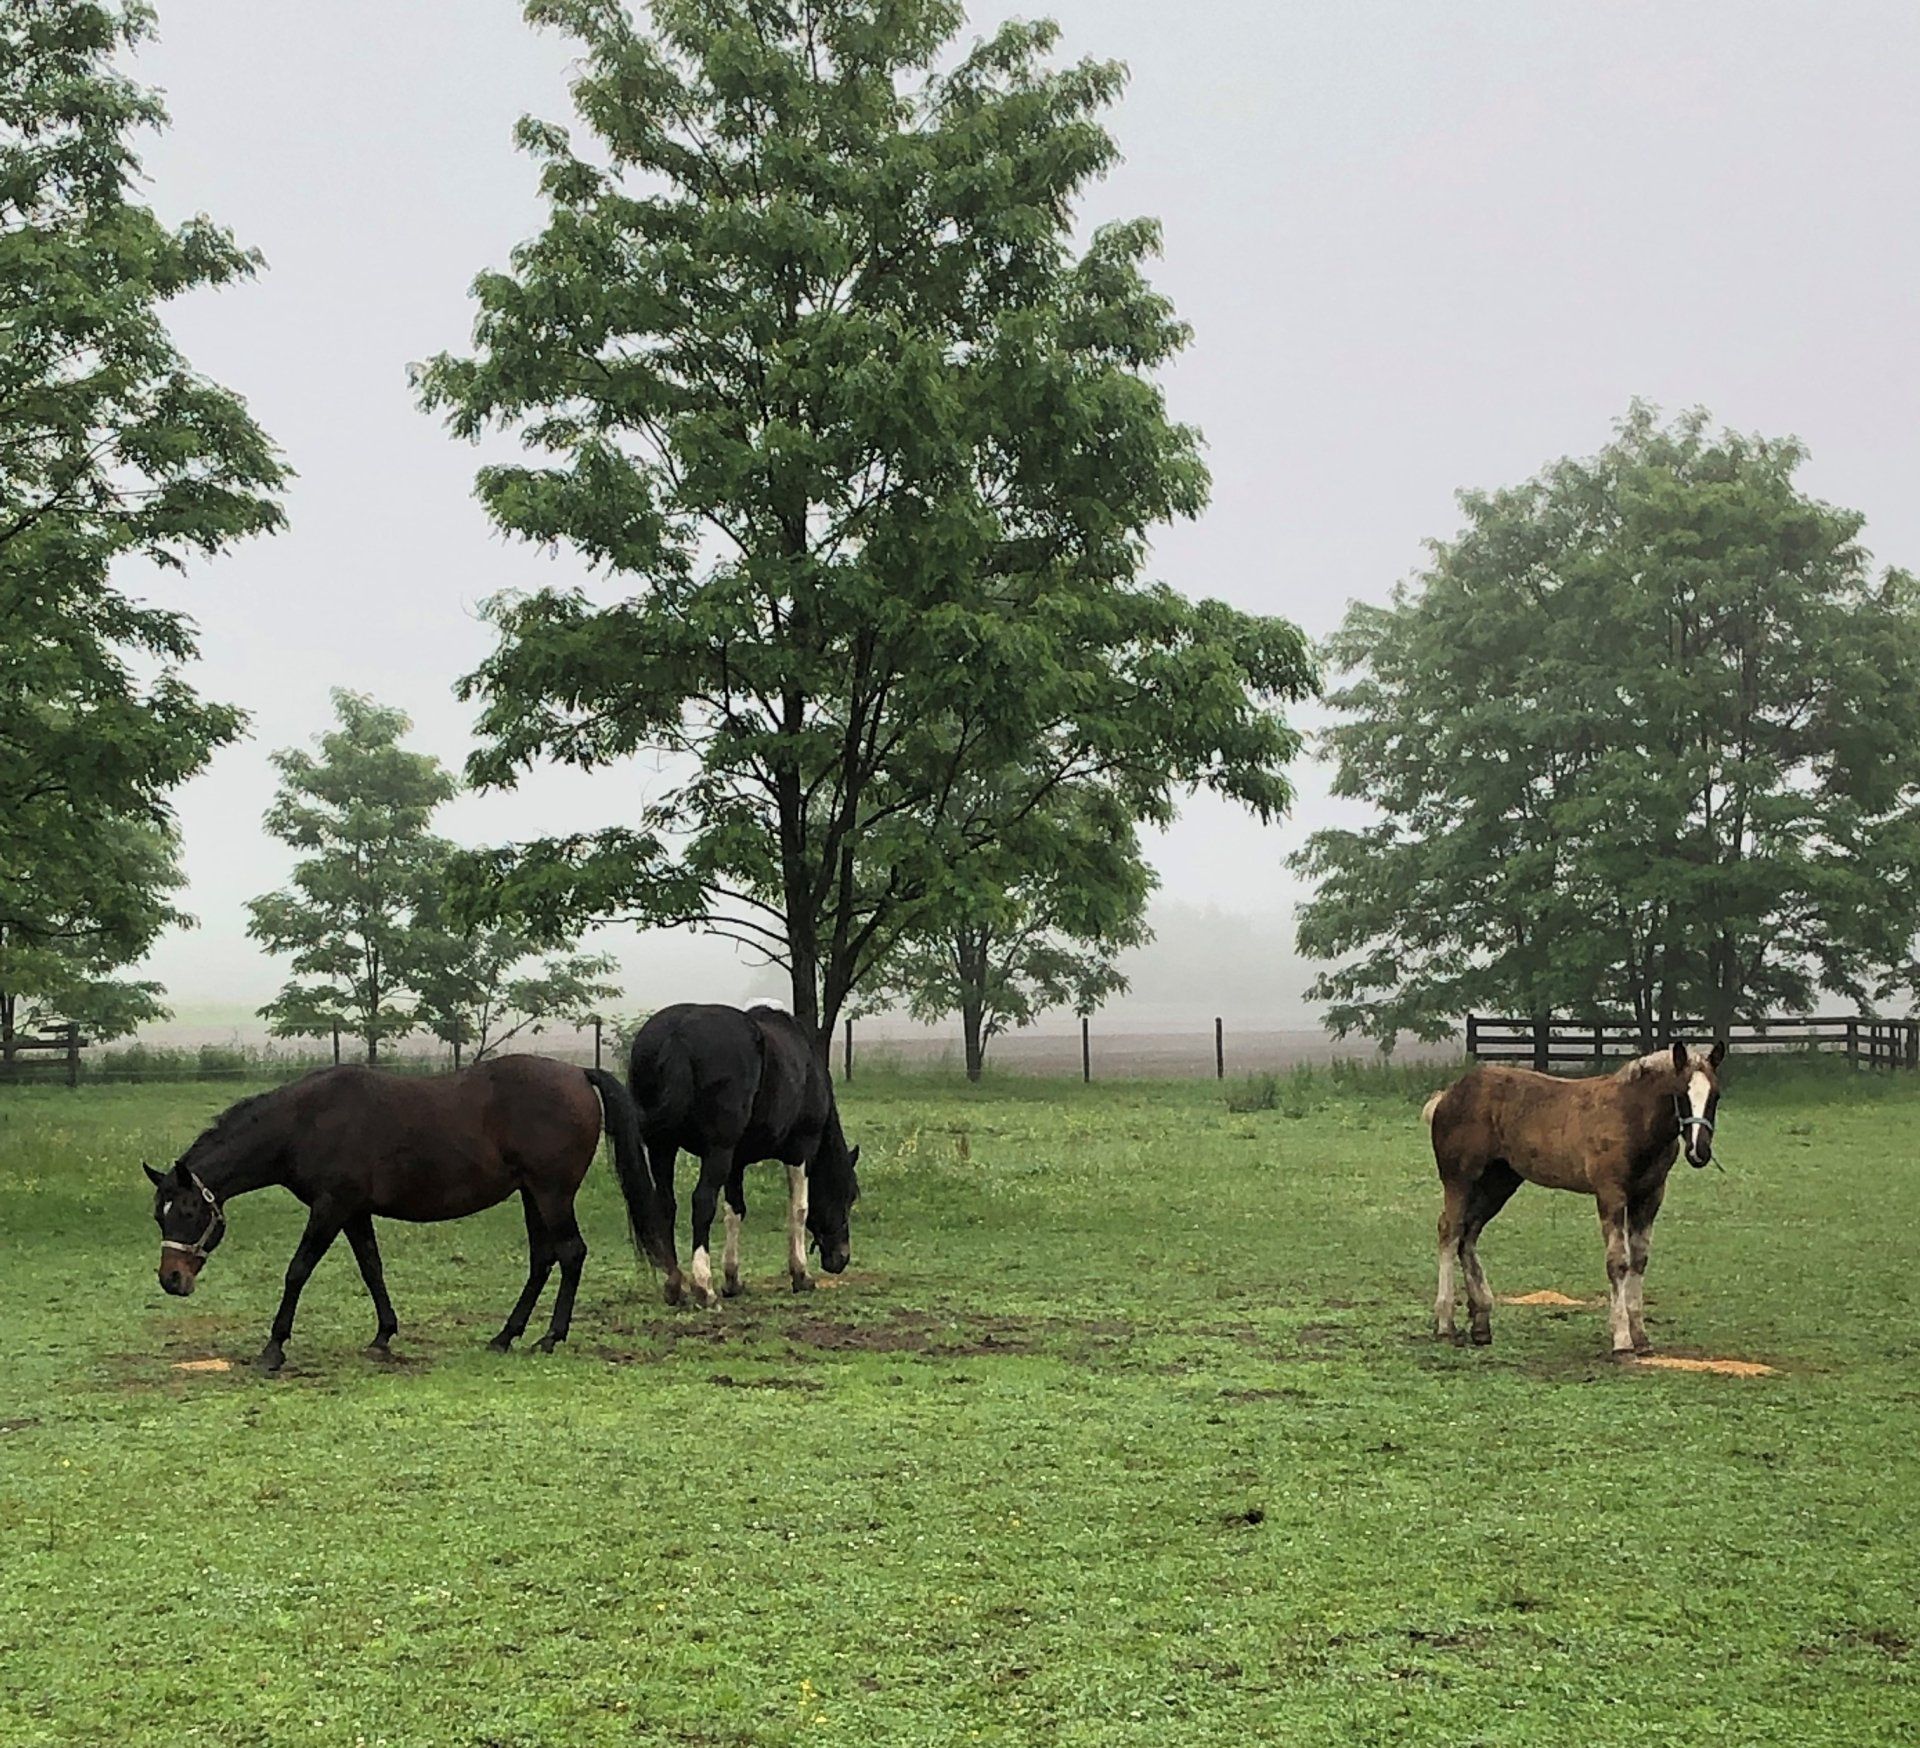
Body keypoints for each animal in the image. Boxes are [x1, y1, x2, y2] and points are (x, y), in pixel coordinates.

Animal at [144, 1056, 670, 1372]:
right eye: (158, 1216)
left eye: (188, 1211)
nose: (172, 1278)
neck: (306, 1122)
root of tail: (578, 1072)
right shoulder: (354, 1212)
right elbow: (372, 1268)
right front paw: (383, 1335)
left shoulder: (331, 1208)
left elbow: (298, 1270)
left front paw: (274, 1348)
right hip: (531, 1195)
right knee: (544, 1258)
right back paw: (505, 1335)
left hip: (551, 1193)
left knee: (571, 1253)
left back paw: (549, 1337)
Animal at [622, 1003, 860, 1309]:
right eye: (848, 1196)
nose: (841, 1258)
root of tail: (676, 1035)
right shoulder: (801, 1150)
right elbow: (799, 1209)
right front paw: (801, 1275)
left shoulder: (735, 1163)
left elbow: (735, 1211)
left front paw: (732, 1280)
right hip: (716, 1151)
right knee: (702, 1202)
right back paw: (704, 1286)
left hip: (662, 1147)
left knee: (665, 1205)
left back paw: (676, 1287)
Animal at [1423, 1039, 1726, 1357]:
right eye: (1681, 1094)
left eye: (1715, 1096)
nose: (1699, 1151)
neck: (1631, 1118)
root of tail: (1447, 1095)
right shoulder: (1610, 1193)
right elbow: (1618, 1261)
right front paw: (1621, 1340)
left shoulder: (1650, 1195)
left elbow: (1639, 1260)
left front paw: (1641, 1337)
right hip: (1460, 1179)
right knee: (1450, 1231)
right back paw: (1445, 1323)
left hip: (1500, 1182)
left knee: (1469, 1235)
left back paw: (1481, 1323)